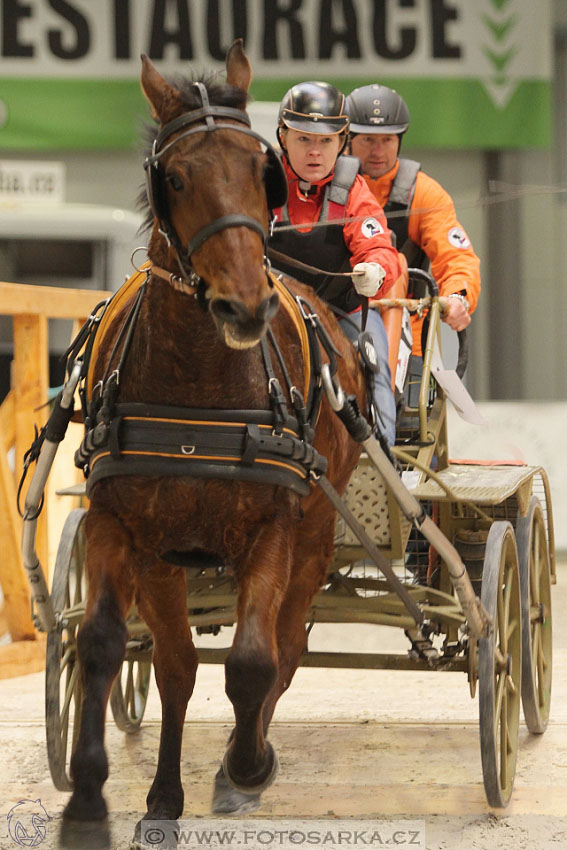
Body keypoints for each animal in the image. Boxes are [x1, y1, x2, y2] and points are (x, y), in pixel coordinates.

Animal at [62, 38, 364, 828]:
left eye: (261, 171)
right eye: (174, 176)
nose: (244, 305)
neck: (198, 391)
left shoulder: (274, 530)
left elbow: (255, 662)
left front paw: (246, 767)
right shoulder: (121, 527)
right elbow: (104, 645)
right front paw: (90, 791)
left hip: (316, 537)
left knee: (285, 645)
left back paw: (239, 764)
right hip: (169, 559)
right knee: (175, 664)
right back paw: (166, 793)